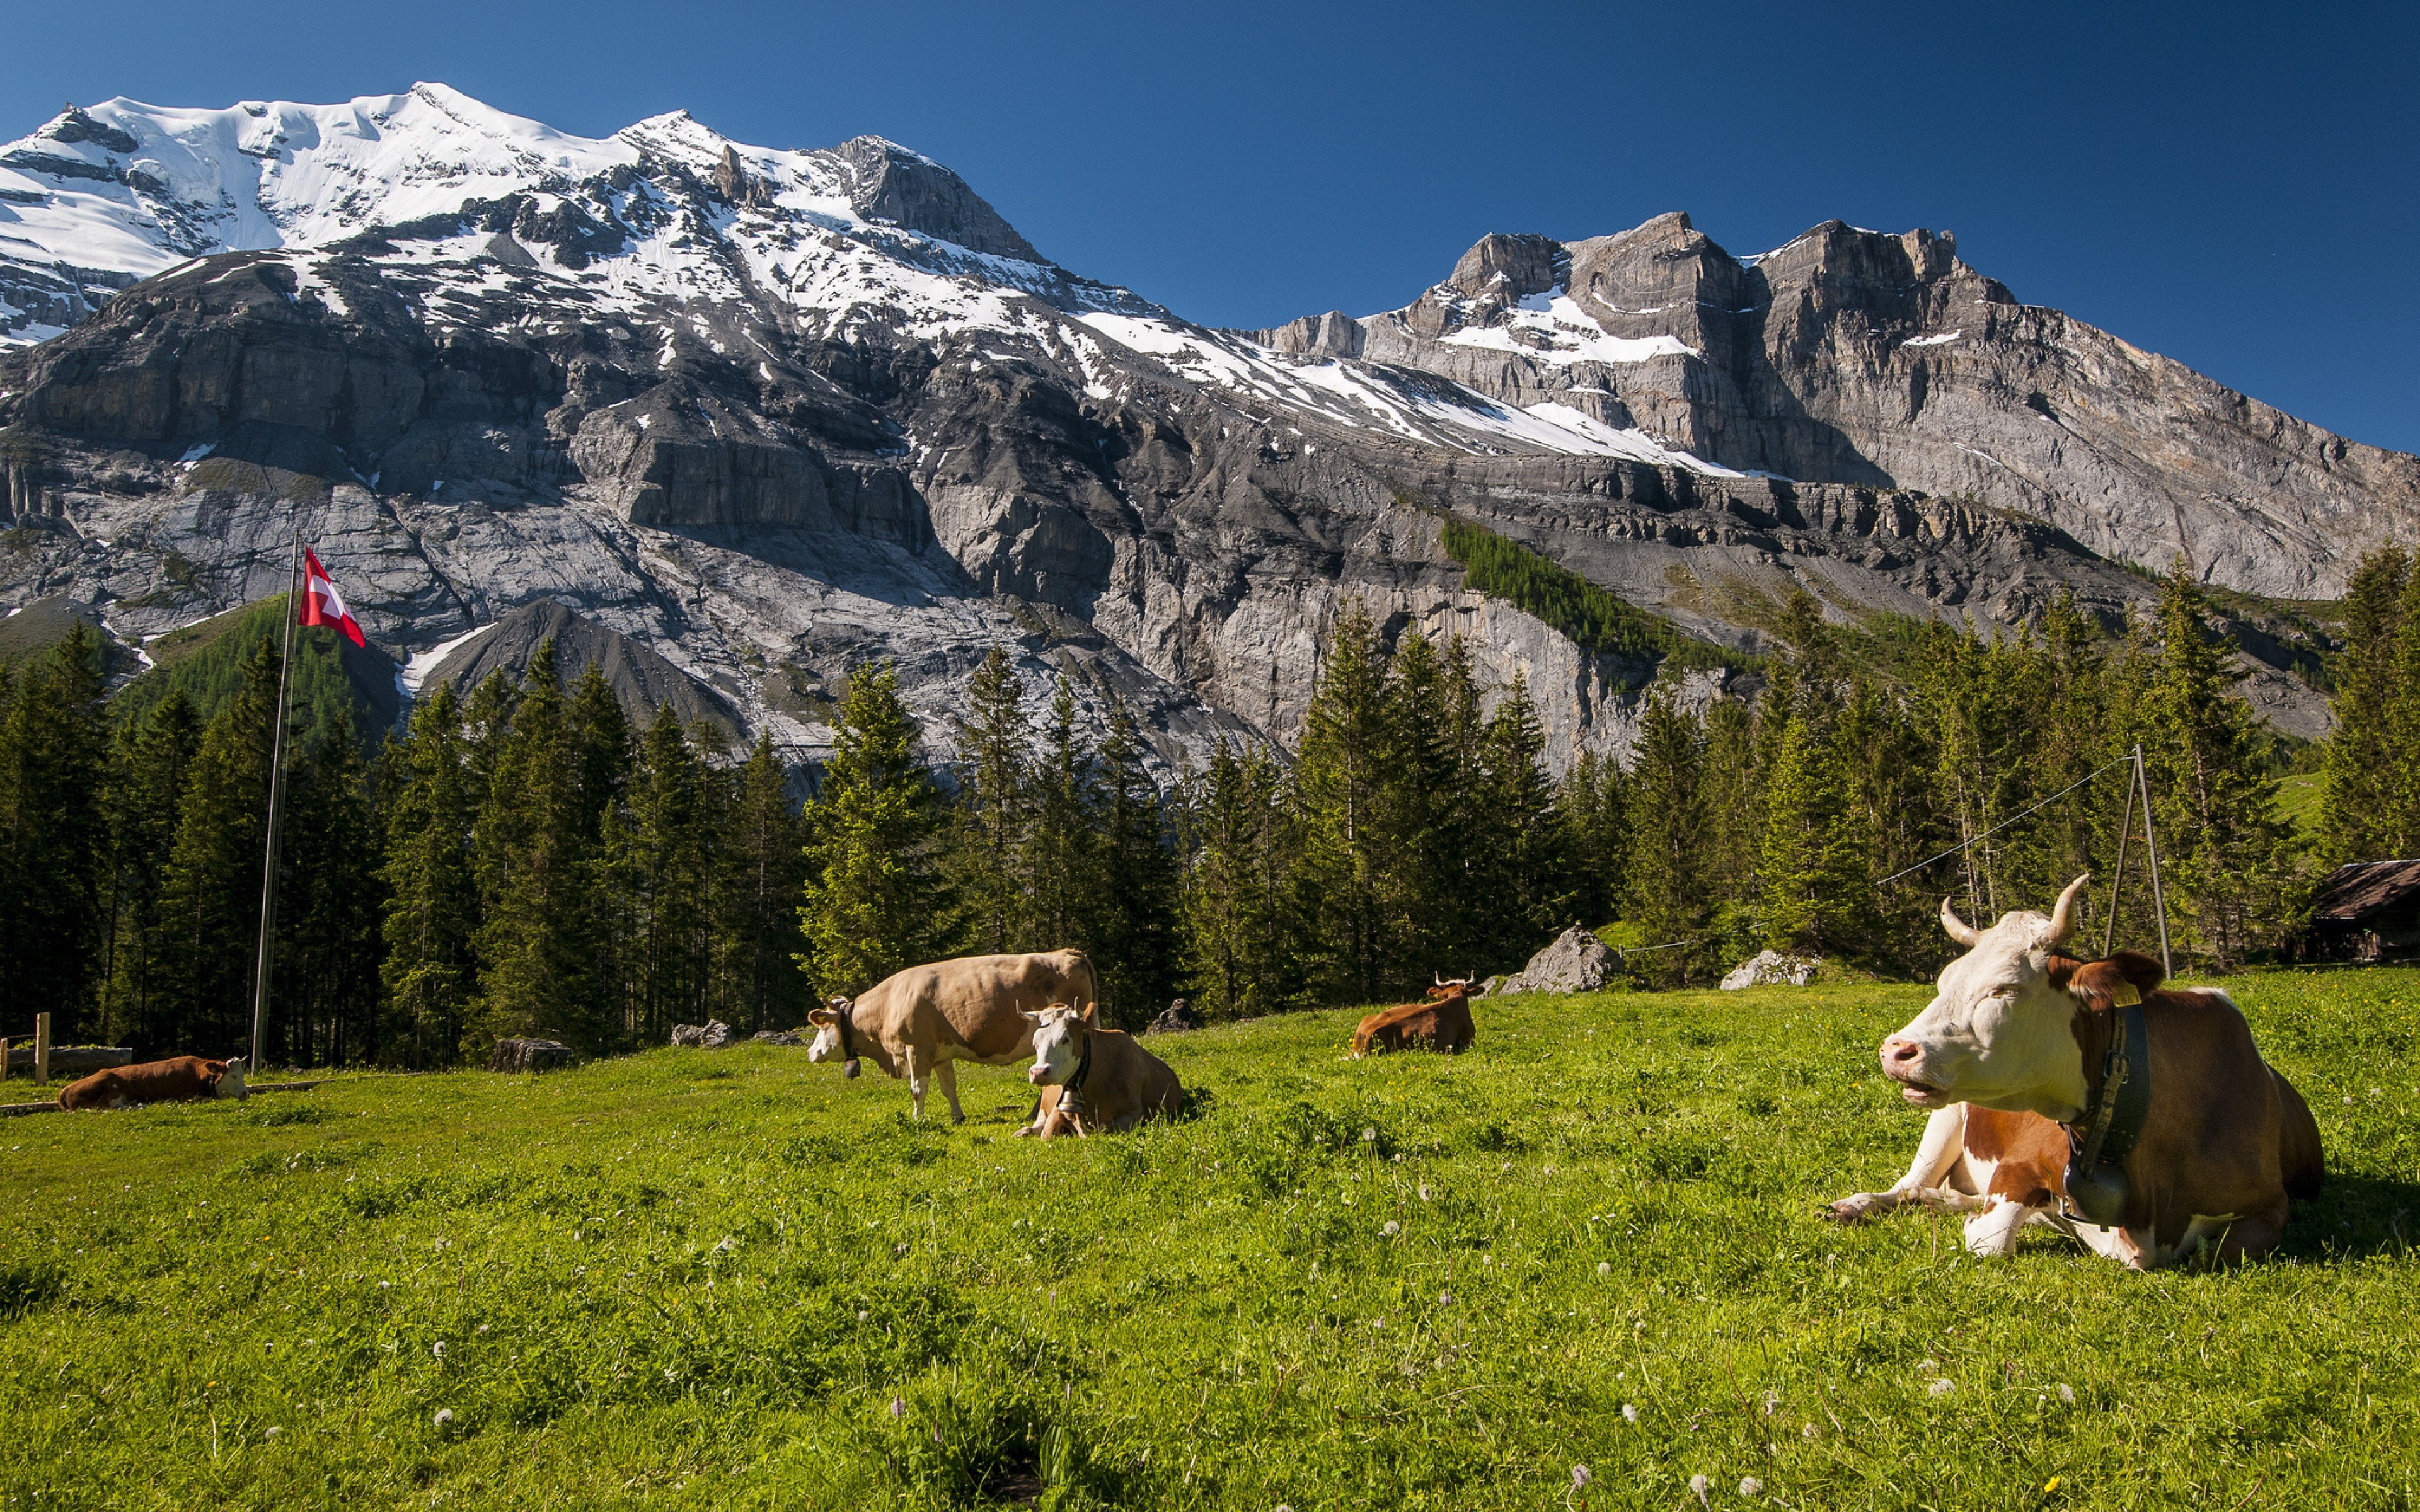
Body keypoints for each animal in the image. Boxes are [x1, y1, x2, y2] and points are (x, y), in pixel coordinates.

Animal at [57, 1056, 249, 1111]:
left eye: (243, 1074)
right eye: (233, 1076)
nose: (246, 1093)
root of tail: (66, 1090)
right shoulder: (186, 1096)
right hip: (111, 1089)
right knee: (117, 1107)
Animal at [806, 949, 1098, 1123]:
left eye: (822, 1027)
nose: (810, 1052)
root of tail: (1067, 953)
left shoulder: (917, 1049)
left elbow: (917, 1089)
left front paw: (918, 1119)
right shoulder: (940, 1054)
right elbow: (949, 1088)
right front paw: (958, 1116)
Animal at [1014, 1002, 1183, 1138]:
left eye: (1066, 1039)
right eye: (1035, 1041)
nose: (1038, 1072)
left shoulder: (1134, 1113)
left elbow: (1104, 1129)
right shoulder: (1058, 1110)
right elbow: (1046, 1134)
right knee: (1037, 1125)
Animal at [1828, 875, 2325, 1268]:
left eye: (2006, 988)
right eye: (1944, 981)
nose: (1895, 1051)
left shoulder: (2271, 1206)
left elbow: (2220, 1251)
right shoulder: (2021, 1163)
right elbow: (1991, 1238)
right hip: (1946, 1119)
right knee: (1906, 1187)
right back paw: (1855, 1205)